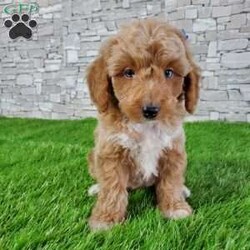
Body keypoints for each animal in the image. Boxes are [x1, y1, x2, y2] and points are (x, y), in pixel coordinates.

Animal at [86, 18, 201, 231]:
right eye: (128, 72)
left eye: (169, 72)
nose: (150, 110)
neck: (145, 126)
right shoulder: (110, 152)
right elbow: (111, 187)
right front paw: (106, 219)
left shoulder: (173, 150)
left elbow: (171, 181)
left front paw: (175, 207)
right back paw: (96, 188)